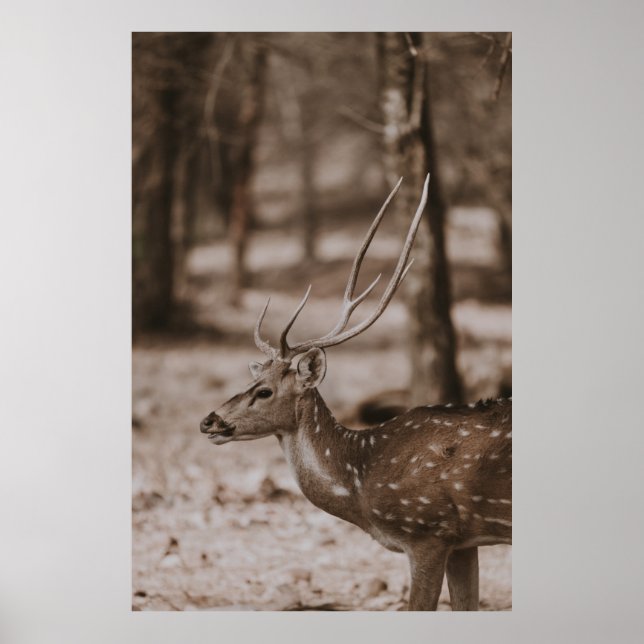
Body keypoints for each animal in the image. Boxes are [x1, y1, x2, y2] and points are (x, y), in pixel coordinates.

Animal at [200, 175, 512, 611]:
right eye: (249, 381)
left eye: (263, 391)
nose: (209, 420)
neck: (364, 482)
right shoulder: (465, 543)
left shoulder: (428, 530)